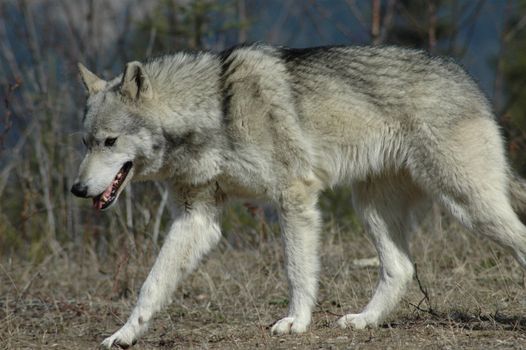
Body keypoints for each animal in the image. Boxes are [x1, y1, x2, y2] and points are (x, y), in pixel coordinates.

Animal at [71, 44, 526, 348]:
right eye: (86, 143)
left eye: (110, 142)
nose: (76, 189)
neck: (216, 111)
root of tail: (466, 79)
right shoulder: (196, 218)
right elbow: (151, 285)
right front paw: (124, 334)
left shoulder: (294, 197)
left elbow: (297, 271)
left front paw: (296, 322)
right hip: (373, 209)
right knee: (401, 269)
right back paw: (364, 321)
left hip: (468, 205)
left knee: (517, 240)